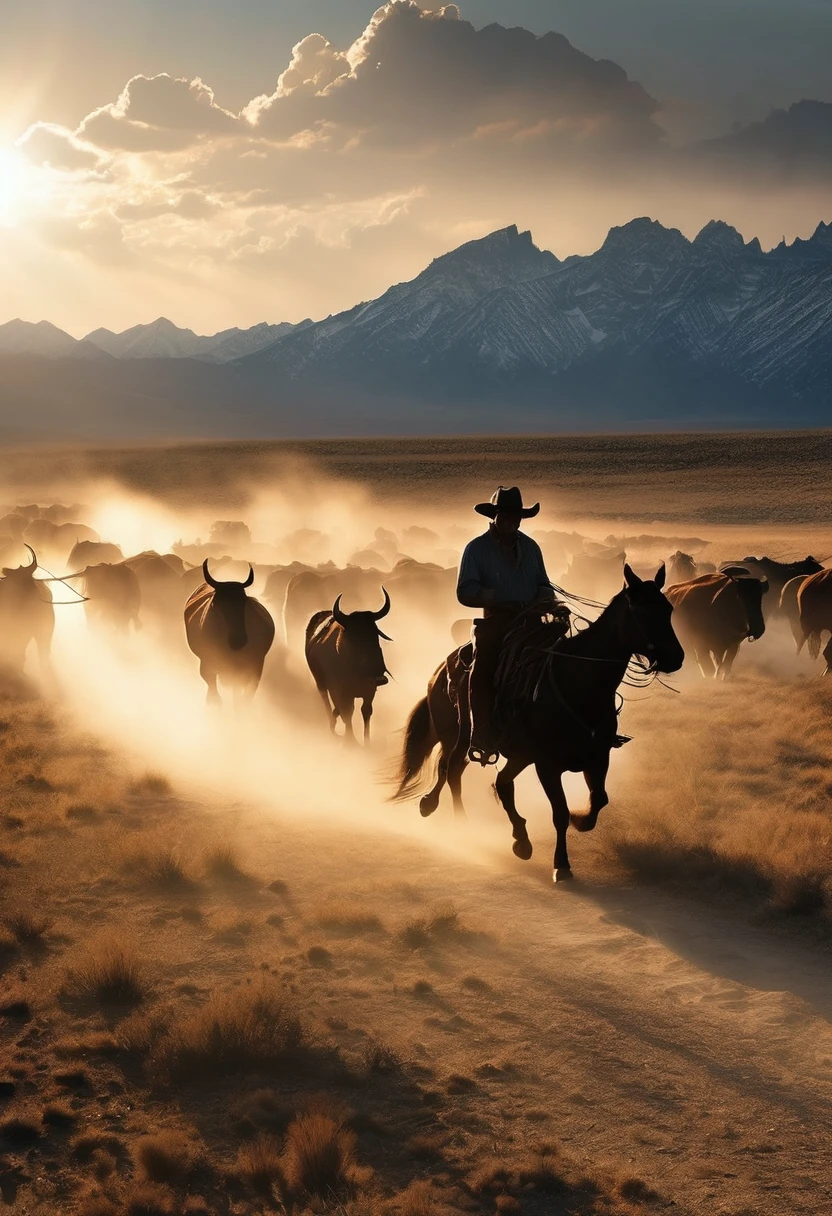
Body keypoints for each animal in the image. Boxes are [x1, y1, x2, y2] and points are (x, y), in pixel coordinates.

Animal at [305, 586, 394, 739]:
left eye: (375, 633)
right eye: (353, 636)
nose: (376, 669)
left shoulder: (369, 690)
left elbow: (366, 711)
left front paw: (366, 740)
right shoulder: (340, 691)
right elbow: (347, 713)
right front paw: (350, 739)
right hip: (321, 684)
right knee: (327, 703)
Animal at [389, 561, 681, 885]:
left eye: (668, 609)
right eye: (642, 612)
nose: (676, 657)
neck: (578, 685)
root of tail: (441, 669)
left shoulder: (596, 757)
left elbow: (599, 800)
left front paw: (580, 819)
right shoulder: (547, 765)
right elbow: (560, 813)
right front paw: (561, 864)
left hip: (514, 754)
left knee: (491, 780)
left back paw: (516, 838)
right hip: (462, 737)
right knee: (452, 769)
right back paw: (456, 819)